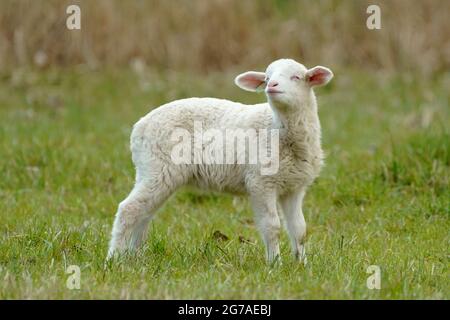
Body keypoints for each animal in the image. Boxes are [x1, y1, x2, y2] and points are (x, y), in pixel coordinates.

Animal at [108, 58, 334, 264]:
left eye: (296, 77)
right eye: (266, 78)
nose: (272, 86)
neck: (277, 129)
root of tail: (139, 126)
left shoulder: (294, 187)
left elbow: (299, 229)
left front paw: (302, 265)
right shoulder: (261, 182)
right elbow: (272, 226)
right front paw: (275, 265)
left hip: (152, 171)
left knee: (144, 214)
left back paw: (134, 257)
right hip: (158, 167)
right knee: (129, 209)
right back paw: (114, 259)